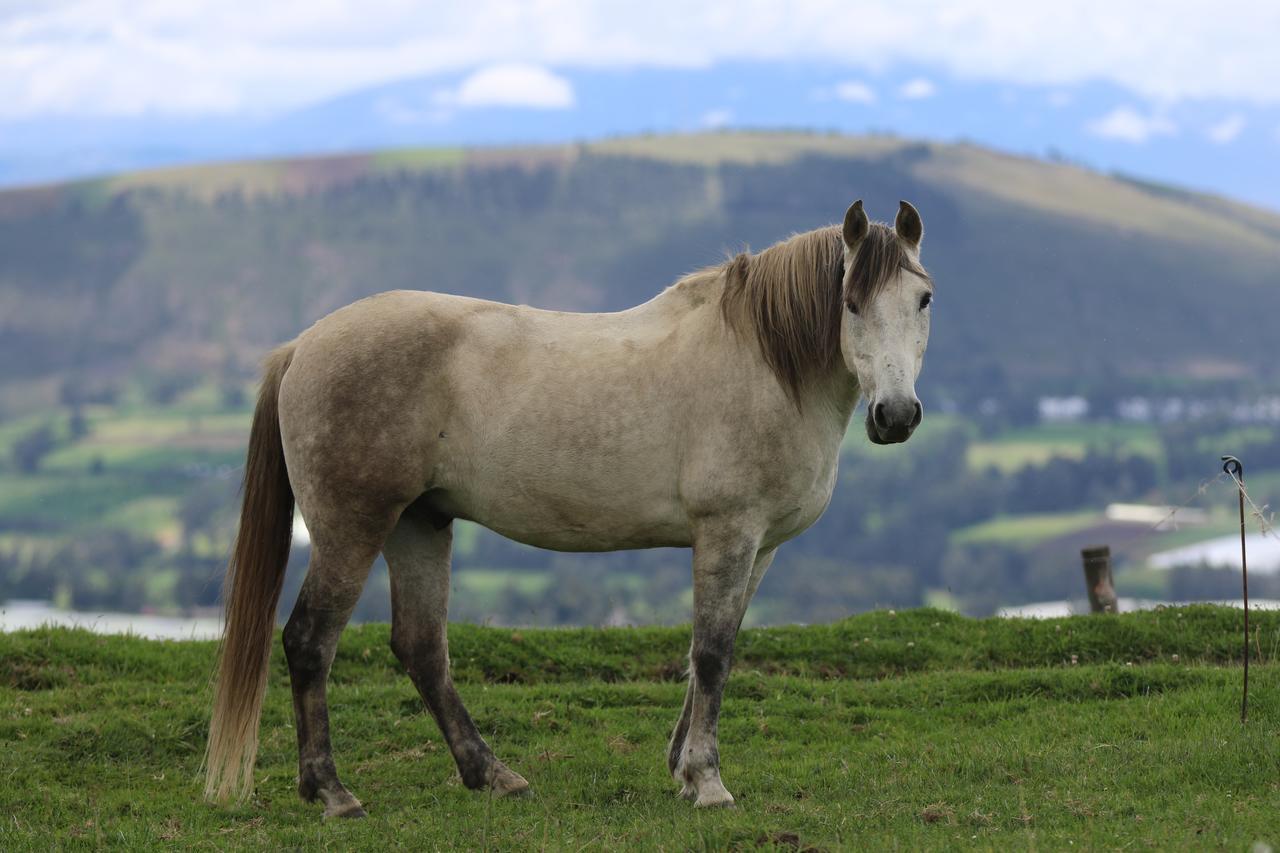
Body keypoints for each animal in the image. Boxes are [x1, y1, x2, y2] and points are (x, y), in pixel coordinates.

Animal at [204, 195, 936, 814]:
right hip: (352, 529)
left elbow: (710, 651)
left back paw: (491, 774)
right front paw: (706, 780)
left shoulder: (761, 548)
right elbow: (712, 653)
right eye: (850, 301)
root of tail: (303, 346)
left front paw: (680, 766)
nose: (896, 416)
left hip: (419, 524)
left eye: (924, 298)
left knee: (421, 647)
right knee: (309, 640)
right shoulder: (728, 533)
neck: (763, 361)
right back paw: (332, 791)